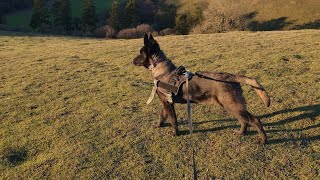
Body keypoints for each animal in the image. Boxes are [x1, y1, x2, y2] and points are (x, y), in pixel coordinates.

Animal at [132, 33, 270, 143]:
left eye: (140, 53)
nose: (132, 61)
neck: (162, 70)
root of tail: (231, 77)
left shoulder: (167, 103)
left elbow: (173, 120)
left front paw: (174, 133)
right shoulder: (166, 102)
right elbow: (162, 115)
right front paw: (159, 125)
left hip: (231, 105)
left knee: (254, 120)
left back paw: (263, 140)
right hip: (231, 106)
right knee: (244, 120)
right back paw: (241, 133)